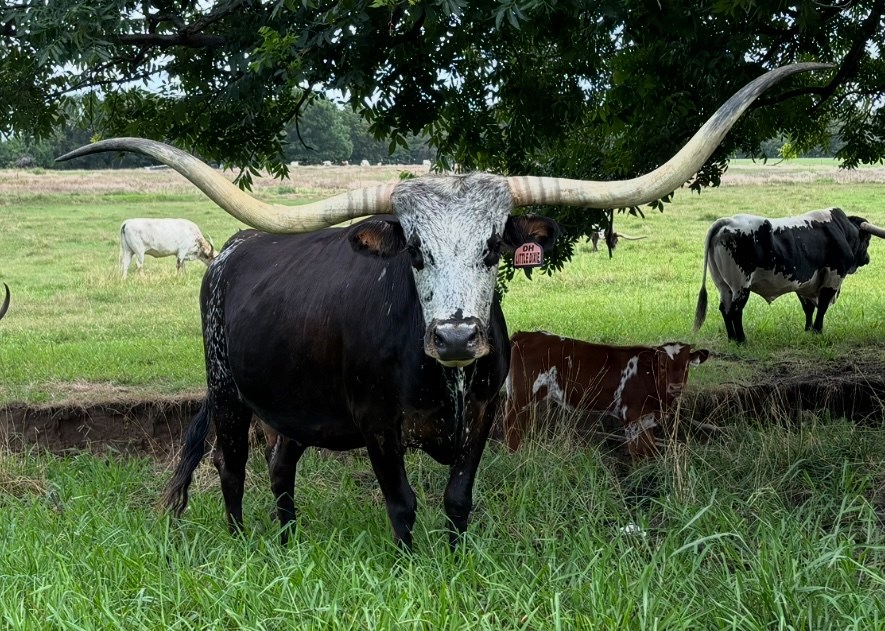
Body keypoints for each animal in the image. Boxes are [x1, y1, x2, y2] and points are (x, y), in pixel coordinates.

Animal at [502, 331, 709, 459]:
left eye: (686, 365)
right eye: (663, 365)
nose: (675, 387)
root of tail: (525, 335)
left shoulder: (647, 418)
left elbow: (649, 449)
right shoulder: (632, 416)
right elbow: (637, 452)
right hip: (523, 395)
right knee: (511, 422)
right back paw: (513, 455)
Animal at [693, 208, 885, 343]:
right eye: (867, 240)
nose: (867, 258)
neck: (841, 230)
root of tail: (727, 221)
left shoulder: (806, 283)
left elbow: (808, 308)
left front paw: (808, 330)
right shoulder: (833, 277)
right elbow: (822, 306)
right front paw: (817, 331)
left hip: (724, 285)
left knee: (725, 309)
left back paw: (732, 338)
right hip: (740, 285)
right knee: (735, 310)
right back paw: (741, 340)